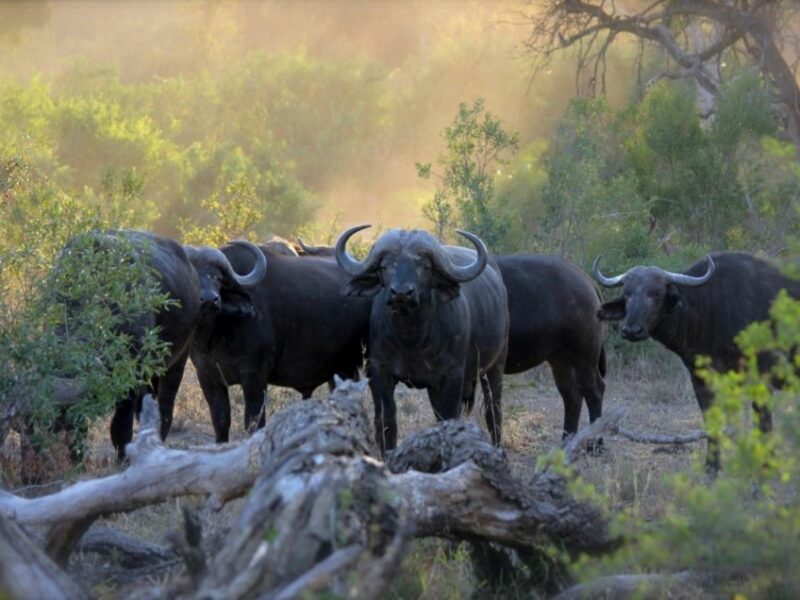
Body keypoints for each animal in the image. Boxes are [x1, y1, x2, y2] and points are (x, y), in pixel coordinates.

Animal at [190, 243, 372, 443]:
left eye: (218, 278)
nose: (209, 299)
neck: (213, 336)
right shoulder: (207, 377)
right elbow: (220, 421)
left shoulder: (255, 376)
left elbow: (254, 422)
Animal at [335, 226, 509, 454]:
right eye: (386, 266)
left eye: (424, 267)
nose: (401, 293)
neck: (412, 339)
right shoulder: (379, 373)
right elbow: (386, 422)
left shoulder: (452, 377)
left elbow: (448, 418)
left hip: (495, 365)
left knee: (493, 412)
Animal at [497, 255, 606, 439]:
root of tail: (587, 279)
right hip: (560, 360)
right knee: (572, 396)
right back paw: (567, 440)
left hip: (584, 357)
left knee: (594, 392)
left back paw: (594, 442)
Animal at [593, 251, 800, 470]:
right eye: (627, 294)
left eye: (656, 293)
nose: (631, 330)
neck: (709, 308)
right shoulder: (700, 378)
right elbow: (711, 418)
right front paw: (712, 465)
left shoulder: (762, 376)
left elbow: (763, 421)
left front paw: (767, 464)